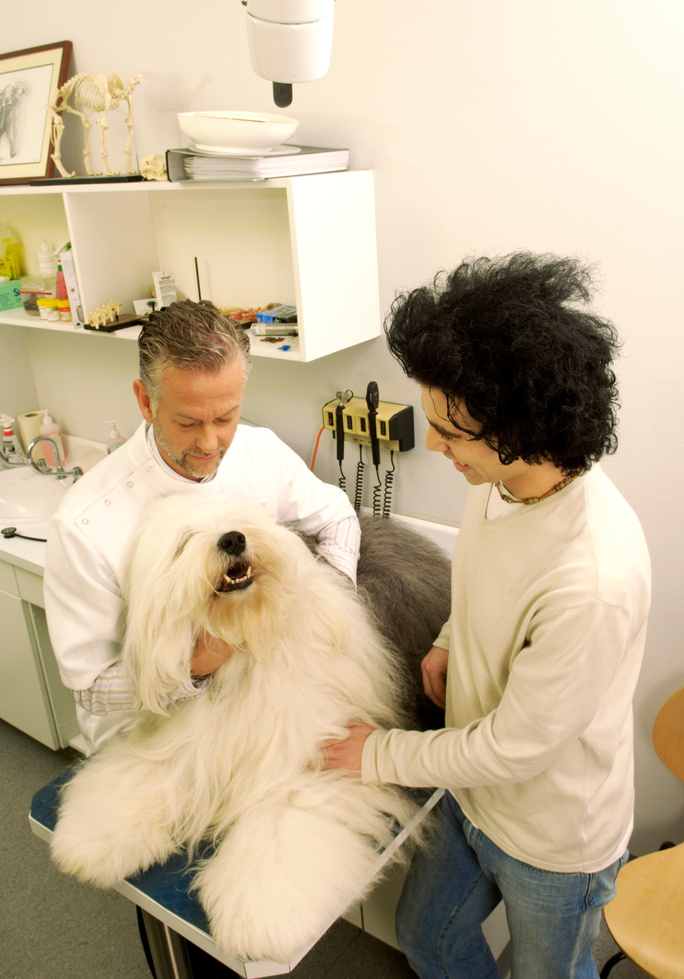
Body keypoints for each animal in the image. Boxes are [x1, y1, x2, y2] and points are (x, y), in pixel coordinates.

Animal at [53, 502, 424, 960]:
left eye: (241, 514)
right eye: (185, 540)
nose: (232, 539)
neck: (247, 644)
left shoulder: (310, 765)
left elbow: (279, 834)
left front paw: (258, 919)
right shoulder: (180, 748)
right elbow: (133, 783)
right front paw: (84, 842)